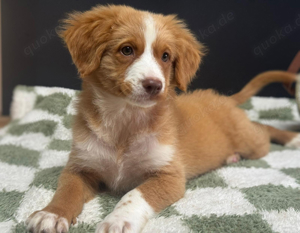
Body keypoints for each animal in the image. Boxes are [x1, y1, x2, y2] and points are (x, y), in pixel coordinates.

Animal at [26, 5, 300, 233]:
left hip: (251, 142)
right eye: (127, 50)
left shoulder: (169, 176)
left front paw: (118, 221)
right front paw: (51, 214)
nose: (154, 85)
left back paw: (291, 139)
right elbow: (67, 191)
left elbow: (133, 195)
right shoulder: (80, 167)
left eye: (166, 56)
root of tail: (223, 98)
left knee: (262, 128)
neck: (125, 120)